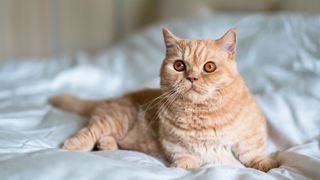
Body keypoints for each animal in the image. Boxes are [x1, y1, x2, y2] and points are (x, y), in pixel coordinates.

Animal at [49, 27, 278, 171]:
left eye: (209, 67)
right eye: (179, 65)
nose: (192, 77)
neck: (200, 112)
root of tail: (117, 97)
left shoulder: (251, 134)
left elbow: (252, 153)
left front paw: (268, 164)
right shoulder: (174, 143)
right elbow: (185, 155)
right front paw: (182, 167)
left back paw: (106, 145)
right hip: (116, 119)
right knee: (91, 130)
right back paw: (75, 145)